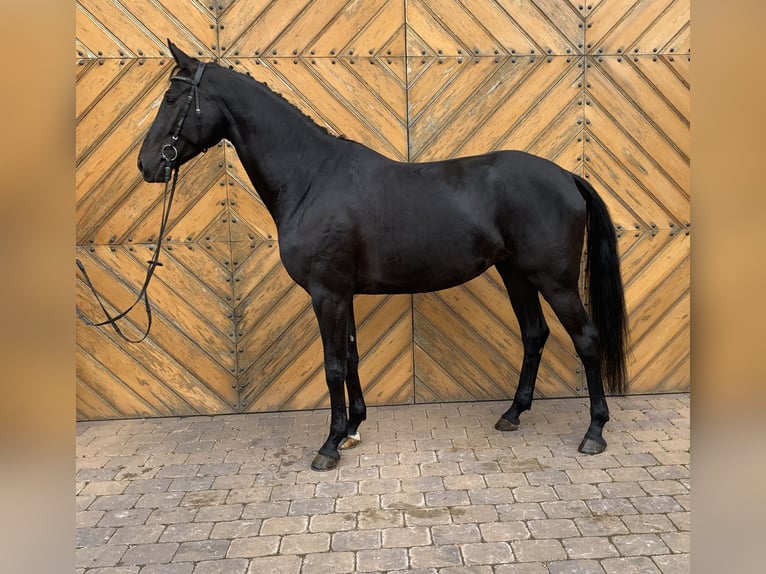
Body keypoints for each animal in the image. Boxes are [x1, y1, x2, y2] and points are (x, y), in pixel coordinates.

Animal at [137, 41, 628, 471]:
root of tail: (566, 176)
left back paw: (594, 433)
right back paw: (512, 414)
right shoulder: (343, 294)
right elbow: (351, 358)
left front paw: (329, 445)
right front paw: (352, 429)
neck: (312, 178)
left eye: (172, 97)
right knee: (534, 334)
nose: (146, 164)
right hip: (517, 275)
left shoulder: (327, 294)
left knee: (586, 340)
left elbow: (333, 366)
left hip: (555, 281)